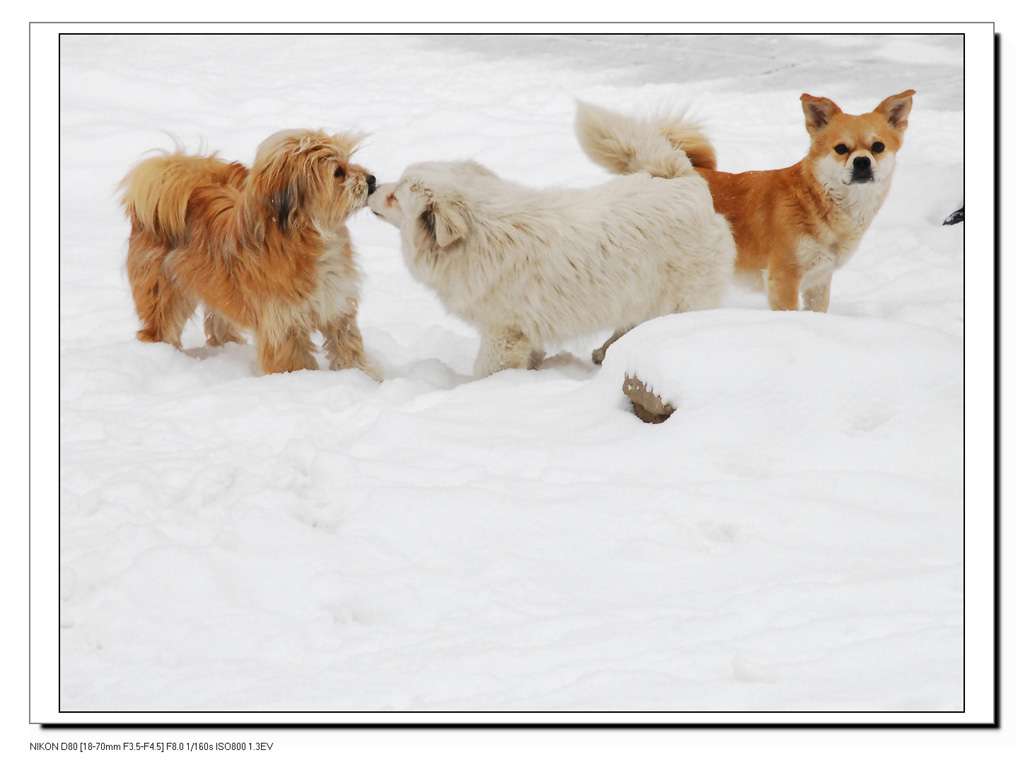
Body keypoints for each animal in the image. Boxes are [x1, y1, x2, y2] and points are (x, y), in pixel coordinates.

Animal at [117, 131, 380, 376]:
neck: (310, 236)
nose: (372, 179)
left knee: (217, 324)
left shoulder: (337, 306)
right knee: (159, 327)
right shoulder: (281, 324)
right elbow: (292, 363)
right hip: (163, 294)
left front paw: (362, 377)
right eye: (338, 172)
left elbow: (347, 346)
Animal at [372, 103, 733, 376]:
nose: (373, 183)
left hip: (683, 299)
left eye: (395, 196)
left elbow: (484, 371)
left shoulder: (502, 333)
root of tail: (683, 179)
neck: (481, 232)